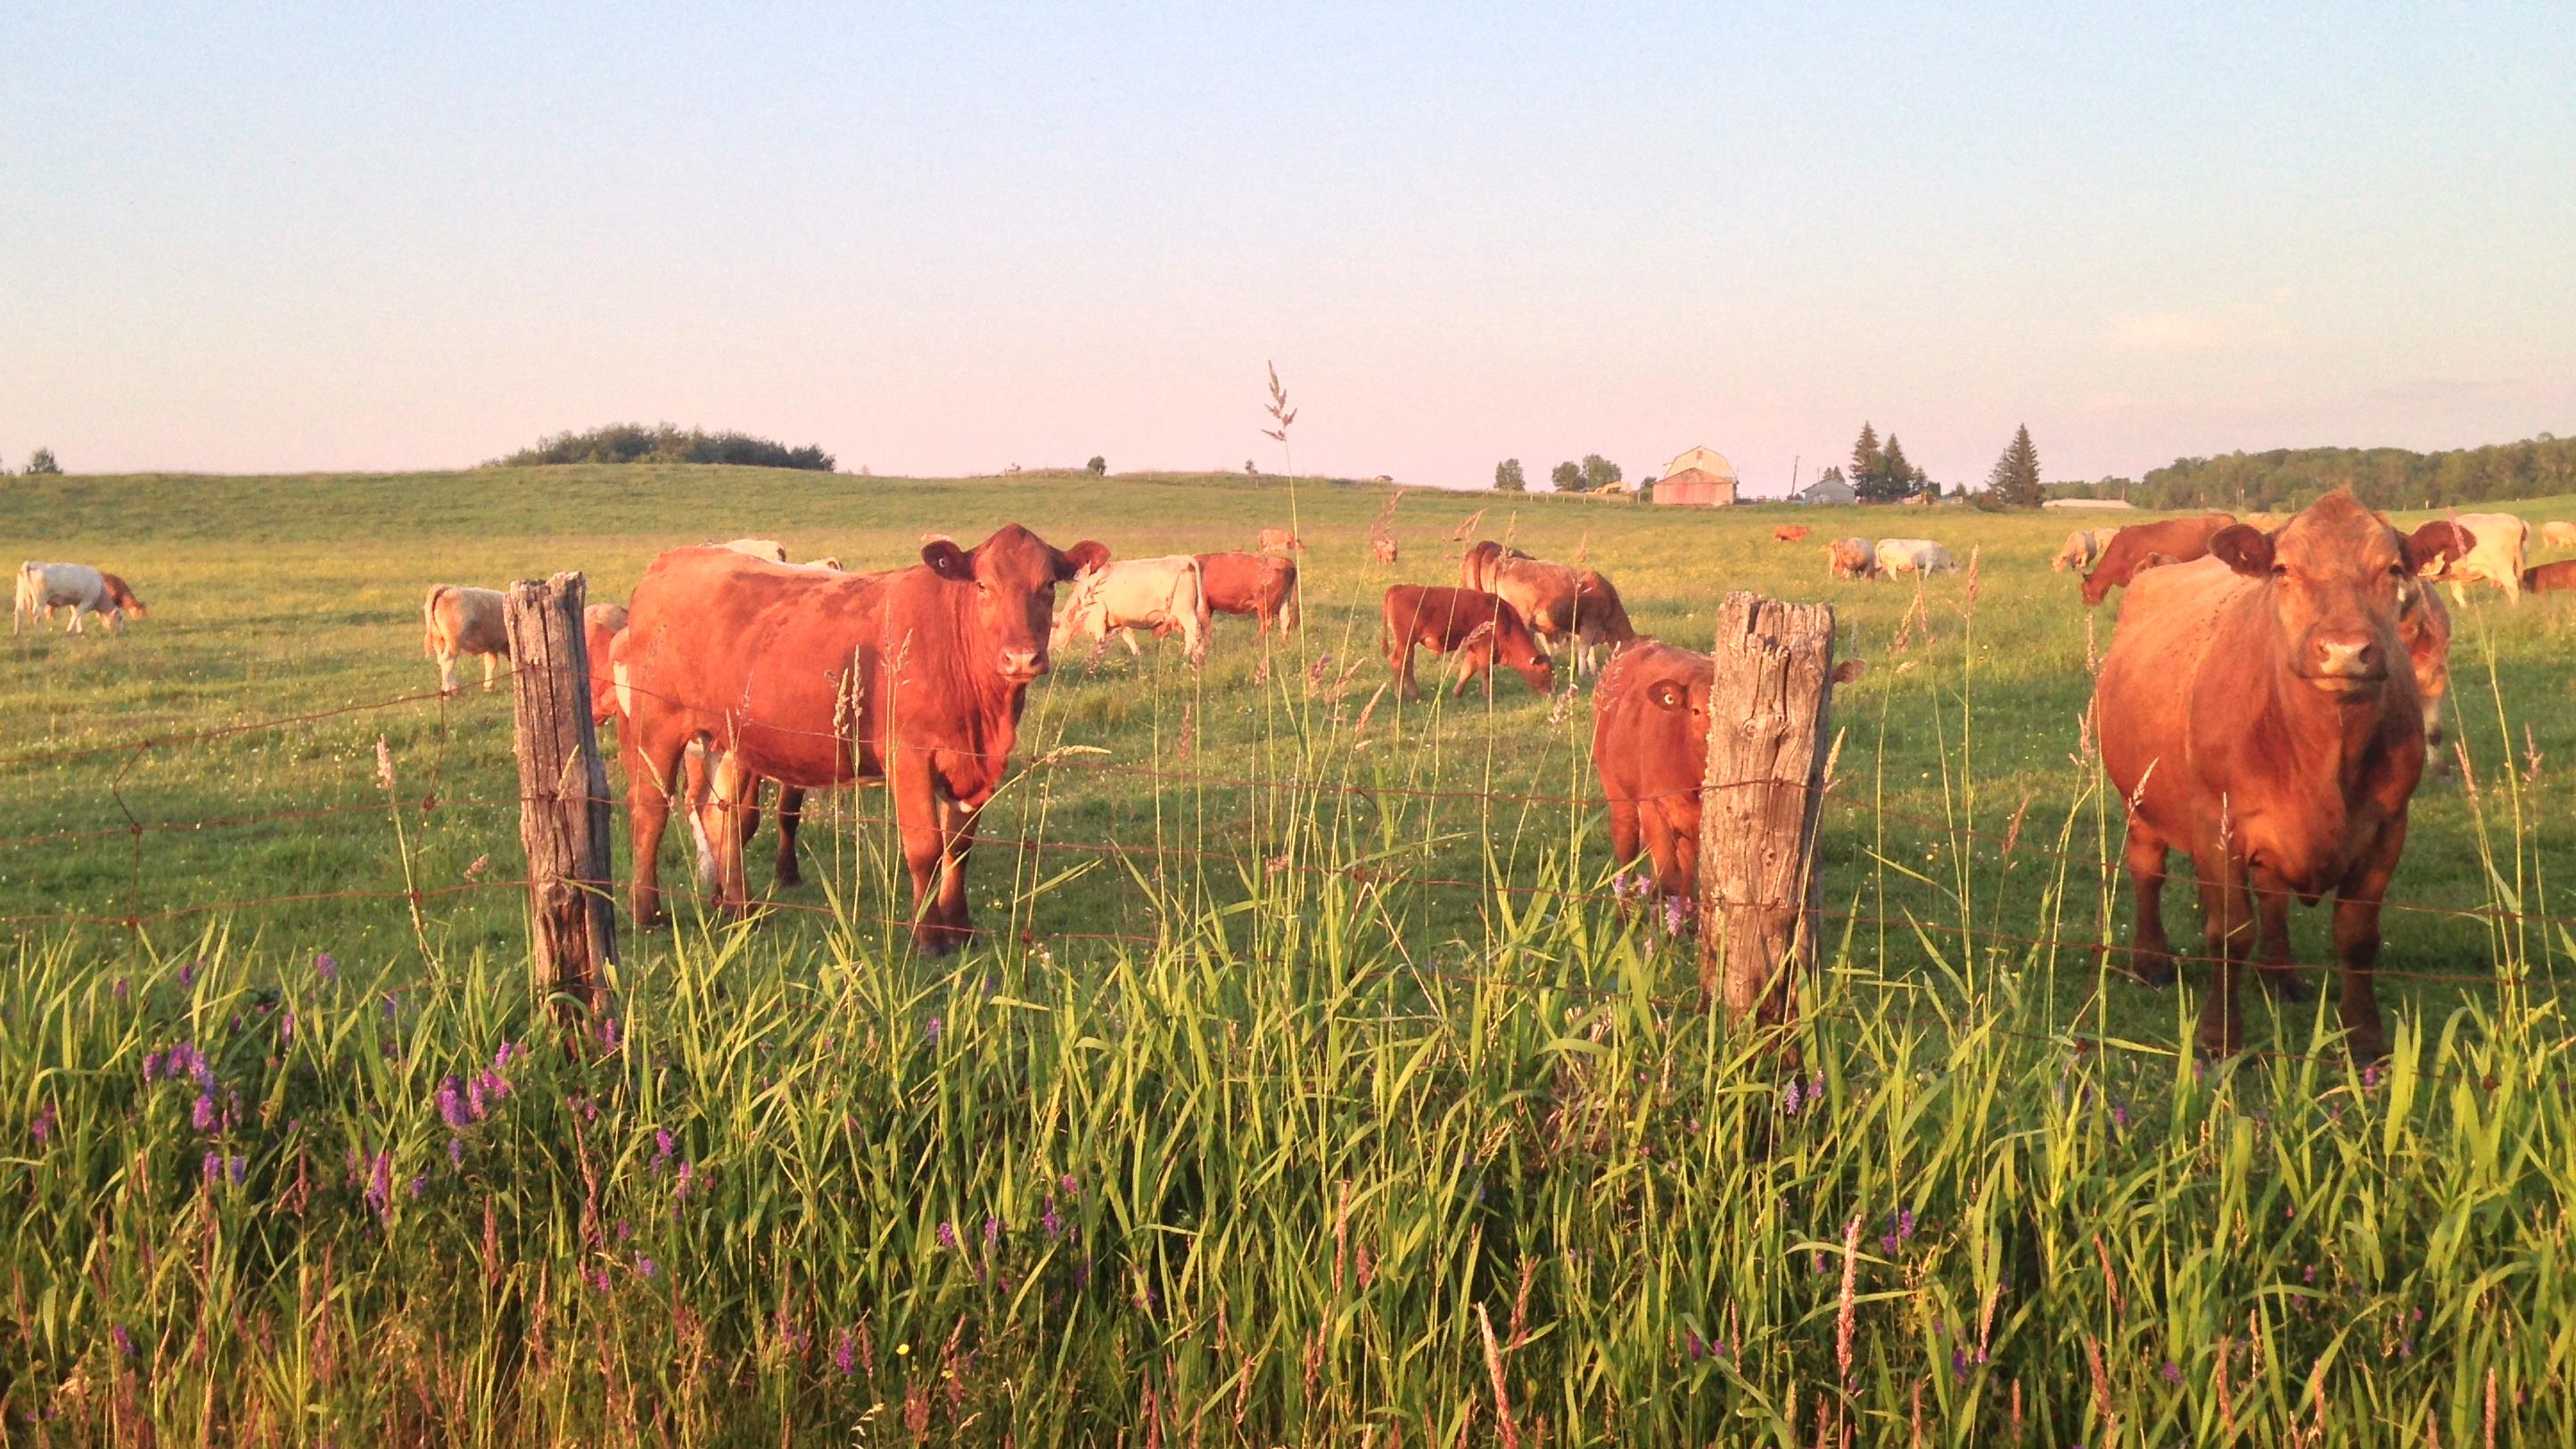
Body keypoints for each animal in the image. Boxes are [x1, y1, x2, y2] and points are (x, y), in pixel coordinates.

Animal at [13, 562, 147, 634]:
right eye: (120, 618)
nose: (121, 632)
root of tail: (32, 564)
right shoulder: (85, 601)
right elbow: (77, 615)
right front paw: (69, 630)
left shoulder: (76, 603)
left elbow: (77, 615)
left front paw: (80, 631)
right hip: (40, 600)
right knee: (37, 615)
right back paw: (40, 633)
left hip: (21, 596)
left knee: (19, 612)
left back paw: (17, 633)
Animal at [415, 580, 505, 696]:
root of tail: (448, 588)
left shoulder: (492, 646)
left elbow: (490, 664)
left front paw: (488, 687)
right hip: (454, 641)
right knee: (448, 660)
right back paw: (449, 691)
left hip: (440, 640)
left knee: (445, 662)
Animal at [1045, 551, 1206, 664]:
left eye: (1050, 632)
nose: (1046, 652)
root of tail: (1183, 559)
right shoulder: (1120, 620)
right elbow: (1129, 637)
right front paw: (1137, 654)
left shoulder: (1098, 618)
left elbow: (1100, 640)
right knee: (1190, 635)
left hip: (1185, 612)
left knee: (1194, 632)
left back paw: (1192, 655)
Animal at [2091, 490, 2473, 1057]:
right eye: (2283, 569)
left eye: (2393, 568)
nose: (2344, 651)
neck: (2323, 755)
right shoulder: (2217, 825)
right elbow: (2229, 932)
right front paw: (2220, 1038)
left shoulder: (2387, 829)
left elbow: (2357, 935)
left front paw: (2367, 1040)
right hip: (2139, 801)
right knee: (2148, 872)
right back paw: (2152, 961)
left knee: (2271, 898)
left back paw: (2281, 977)